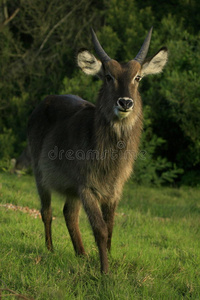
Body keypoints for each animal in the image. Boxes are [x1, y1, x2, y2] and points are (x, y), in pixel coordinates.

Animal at [28, 28, 168, 274]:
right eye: (108, 76)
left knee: (69, 214)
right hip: (41, 176)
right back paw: (50, 249)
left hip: (71, 188)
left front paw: (108, 259)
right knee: (47, 211)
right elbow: (100, 229)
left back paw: (81, 255)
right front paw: (105, 271)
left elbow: (110, 227)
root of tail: (46, 100)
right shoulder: (87, 188)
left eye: (138, 78)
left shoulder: (114, 190)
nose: (125, 102)